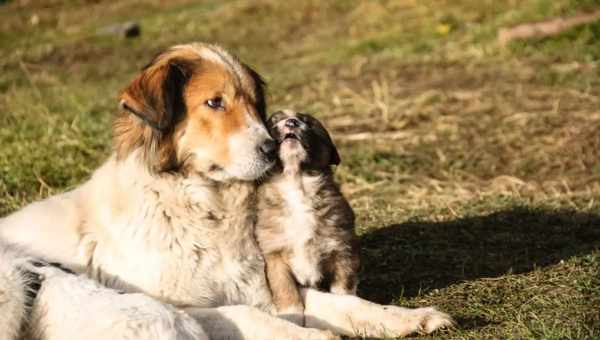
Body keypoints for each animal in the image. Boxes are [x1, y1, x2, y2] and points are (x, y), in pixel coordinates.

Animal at [255, 110, 358, 322]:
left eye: (308, 123)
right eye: (273, 122)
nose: (291, 122)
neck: (297, 184)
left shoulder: (343, 249)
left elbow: (343, 287)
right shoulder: (274, 257)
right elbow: (286, 291)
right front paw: (292, 318)